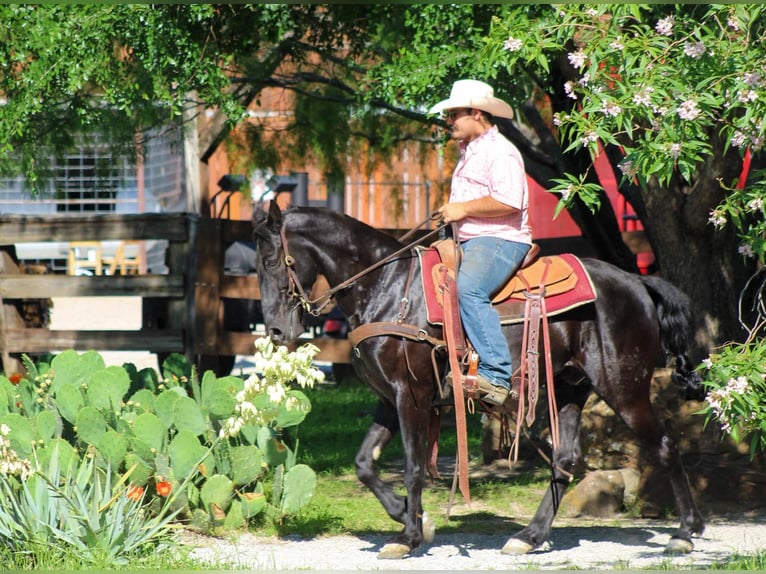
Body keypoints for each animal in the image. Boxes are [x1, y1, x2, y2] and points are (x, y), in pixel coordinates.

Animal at [252, 201, 706, 559]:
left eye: (272, 261)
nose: (275, 331)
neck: (387, 287)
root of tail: (637, 281)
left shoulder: (411, 396)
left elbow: (413, 467)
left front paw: (409, 536)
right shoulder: (388, 398)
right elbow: (364, 464)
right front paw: (411, 519)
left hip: (623, 388)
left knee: (665, 445)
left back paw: (686, 532)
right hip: (569, 387)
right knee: (564, 460)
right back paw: (529, 536)